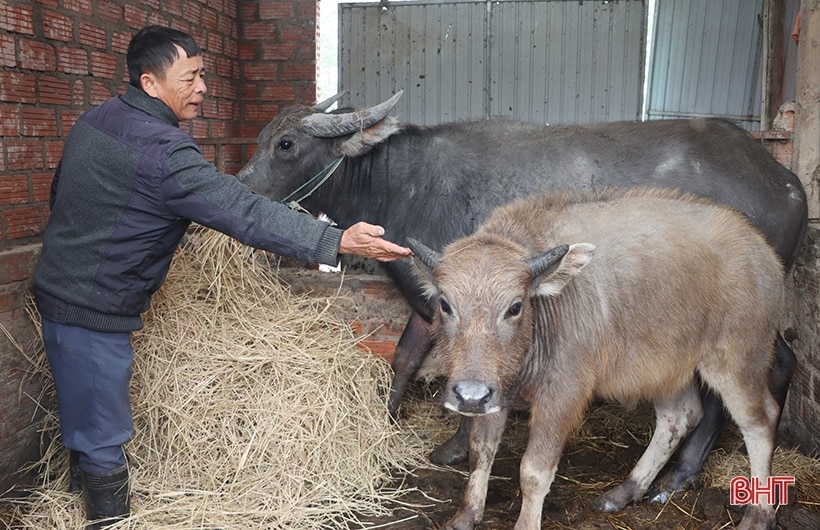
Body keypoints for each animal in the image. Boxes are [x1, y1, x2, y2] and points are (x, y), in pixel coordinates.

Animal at [237, 91, 808, 500]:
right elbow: (405, 357)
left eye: (286, 144)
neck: (402, 183)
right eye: (262, 136)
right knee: (782, 361)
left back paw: (677, 478)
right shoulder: (434, 296)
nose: (240, 183)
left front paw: (454, 445)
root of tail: (788, 184)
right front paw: (390, 419)